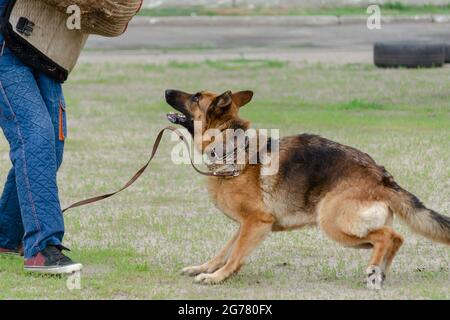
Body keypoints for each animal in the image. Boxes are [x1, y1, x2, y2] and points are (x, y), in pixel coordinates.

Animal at [166, 89, 450, 288]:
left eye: (195, 97)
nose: (167, 91)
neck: (231, 148)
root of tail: (381, 176)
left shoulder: (257, 222)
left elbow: (235, 255)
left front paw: (217, 277)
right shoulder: (245, 225)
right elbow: (224, 251)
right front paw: (204, 268)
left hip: (333, 223)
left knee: (389, 235)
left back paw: (373, 271)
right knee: (395, 238)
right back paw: (379, 273)